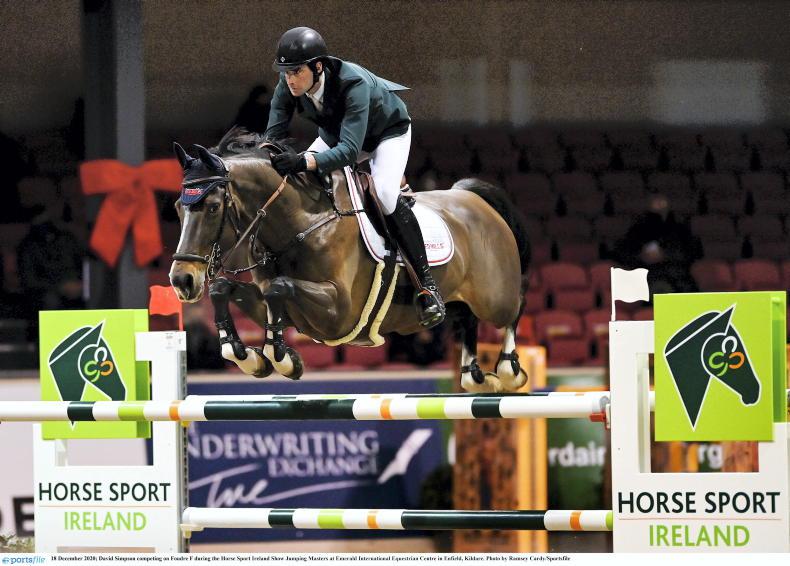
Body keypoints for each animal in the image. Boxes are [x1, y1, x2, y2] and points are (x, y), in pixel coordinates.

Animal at [169, 129, 531, 393]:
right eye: (177, 208)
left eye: (213, 207)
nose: (182, 280)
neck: (301, 220)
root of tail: (473, 197)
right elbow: (225, 290)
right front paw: (252, 356)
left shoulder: (339, 311)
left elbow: (279, 287)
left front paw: (280, 357)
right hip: (459, 299)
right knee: (466, 320)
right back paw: (474, 374)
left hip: (495, 297)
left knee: (514, 307)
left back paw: (508, 369)